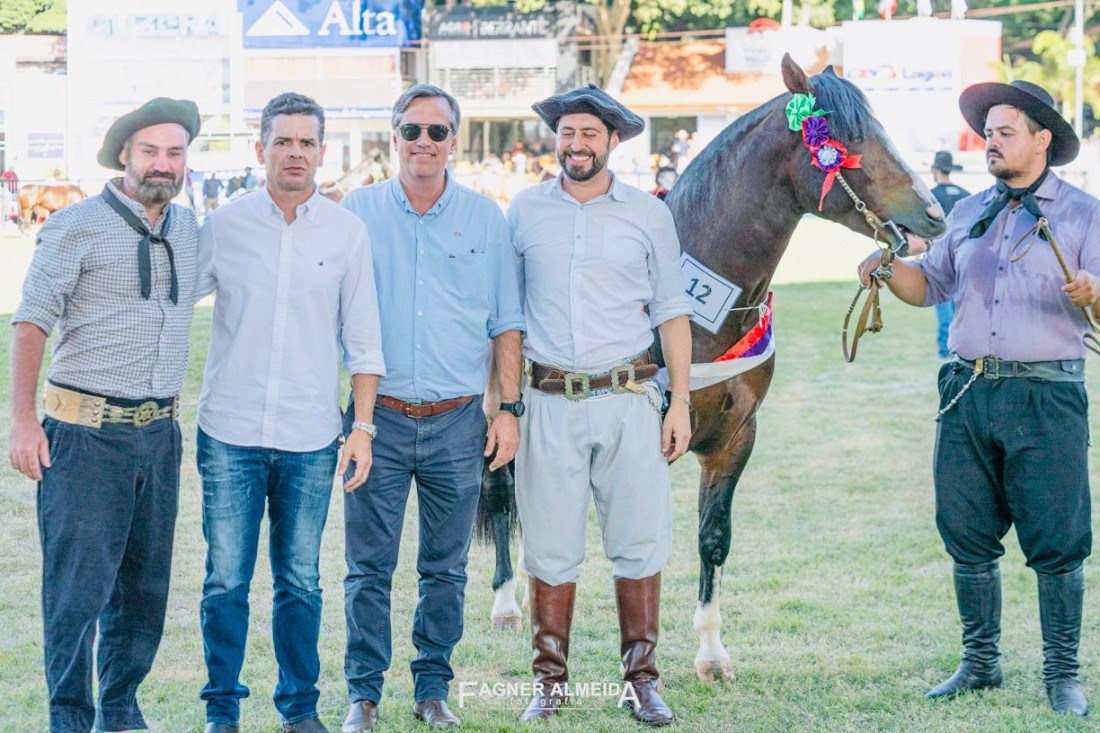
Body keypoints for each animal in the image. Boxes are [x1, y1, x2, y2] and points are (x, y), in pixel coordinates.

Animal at [477, 54, 950, 677]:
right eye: (845, 138)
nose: (935, 214)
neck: (697, 315)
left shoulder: (735, 438)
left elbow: (712, 537)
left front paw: (710, 651)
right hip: (500, 417)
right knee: (502, 496)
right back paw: (508, 601)